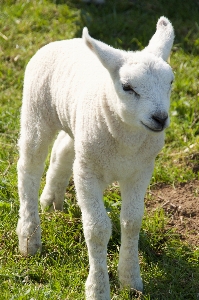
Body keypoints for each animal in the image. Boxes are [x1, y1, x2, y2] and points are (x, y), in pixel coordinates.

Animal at [17, 17, 174, 300]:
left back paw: (51, 199)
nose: (160, 118)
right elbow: (98, 229)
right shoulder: (86, 173)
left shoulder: (141, 170)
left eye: (171, 83)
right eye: (127, 87)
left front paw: (130, 279)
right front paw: (98, 288)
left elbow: (132, 221)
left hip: (77, 127)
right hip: (36, 112)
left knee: (62, 149)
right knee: (28, 170)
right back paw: (29, 237)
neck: (126, 142)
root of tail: (62, 42)